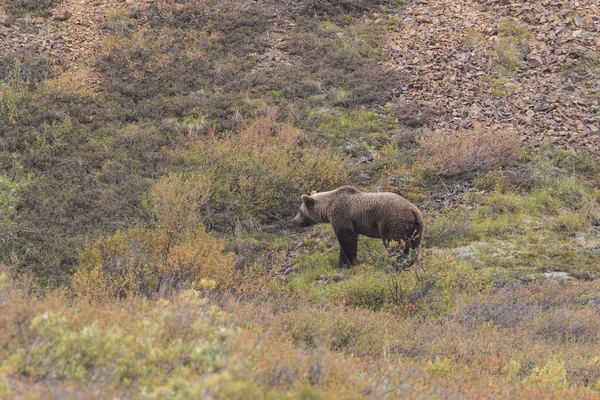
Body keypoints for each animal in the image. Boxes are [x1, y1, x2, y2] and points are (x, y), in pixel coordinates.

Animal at [292, 186, 424, 268]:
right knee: (413, 246)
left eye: (300, 210)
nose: (294, 220)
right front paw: (342, 262)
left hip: (392, 222)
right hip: (416, 227)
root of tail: (413, 211)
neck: (328, 208)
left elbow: (347, 240)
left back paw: (397, 264)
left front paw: (347, 262)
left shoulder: (342, 215)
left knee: (394, 244)